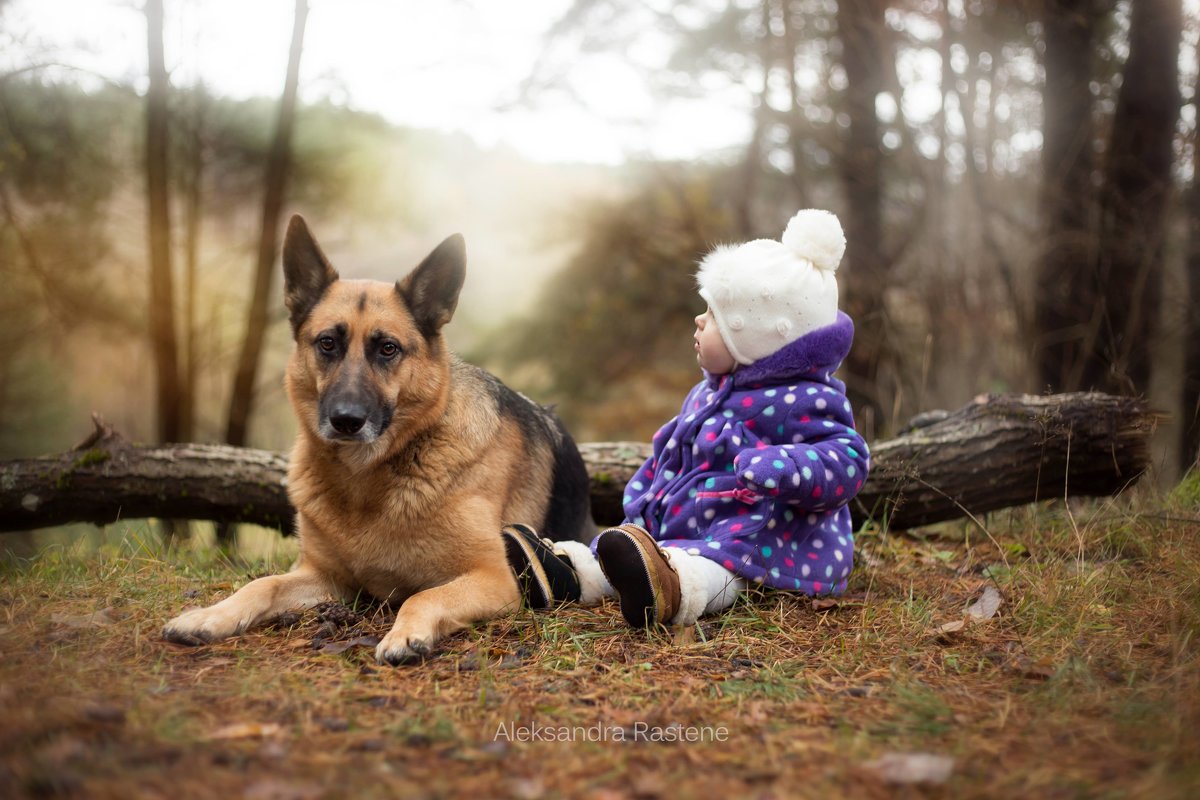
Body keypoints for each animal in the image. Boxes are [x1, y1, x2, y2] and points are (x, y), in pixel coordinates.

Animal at [162, 215, 592, 666]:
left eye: (388, 348)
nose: (346, 421)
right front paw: (211, 615)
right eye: (327, 343)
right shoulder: (325, 576)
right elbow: (262, 584)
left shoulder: (494, 577)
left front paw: (406, 635)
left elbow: (422, 596)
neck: (365, 482)